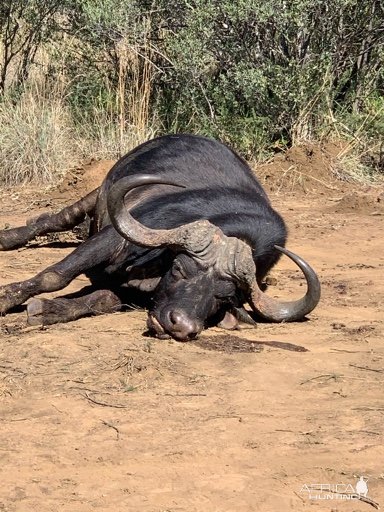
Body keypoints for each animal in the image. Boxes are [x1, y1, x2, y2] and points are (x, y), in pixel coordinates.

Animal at [0, 135, 320, 340]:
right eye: (178, 269)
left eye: (223, 297)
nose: (181, 326)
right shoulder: (113, 238)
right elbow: (55, 276)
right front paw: (6, 297)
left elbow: (103, 299)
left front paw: (49, 310)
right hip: (98, 194)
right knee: (59, 218)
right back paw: (9, 236)